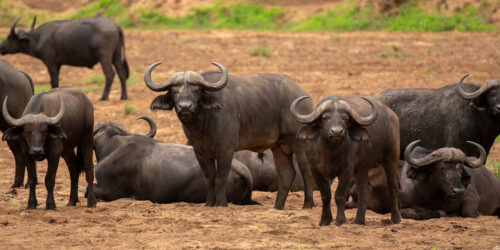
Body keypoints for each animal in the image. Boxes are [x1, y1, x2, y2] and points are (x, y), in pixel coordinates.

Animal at [146, 62, 316, 209]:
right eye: (174, 92)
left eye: (196, 91)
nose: (185, 107)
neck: (204, 124)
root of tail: (303, 96)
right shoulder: (200, 152)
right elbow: (209, 178)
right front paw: (209, 203)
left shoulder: (226, 149)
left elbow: (221, 176)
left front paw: (221, 203)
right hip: (279, 147)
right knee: (286, 174)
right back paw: (278, 206)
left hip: (299, 143)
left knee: (306, 170)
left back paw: (308, 204)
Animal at [290, 94, 402, 226]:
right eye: (325, 117)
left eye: (346, 118)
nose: (337, 132)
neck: (329, 152)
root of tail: (392, 116)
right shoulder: (315, 170)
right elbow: (325, 195)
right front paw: (325, 220)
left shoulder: (347, 170)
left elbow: (339, 195)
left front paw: (340, 220)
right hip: (362, 168)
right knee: (365, 189)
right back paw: (359, 220)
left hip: (391, 158)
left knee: (392, 186)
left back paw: (395, 218)